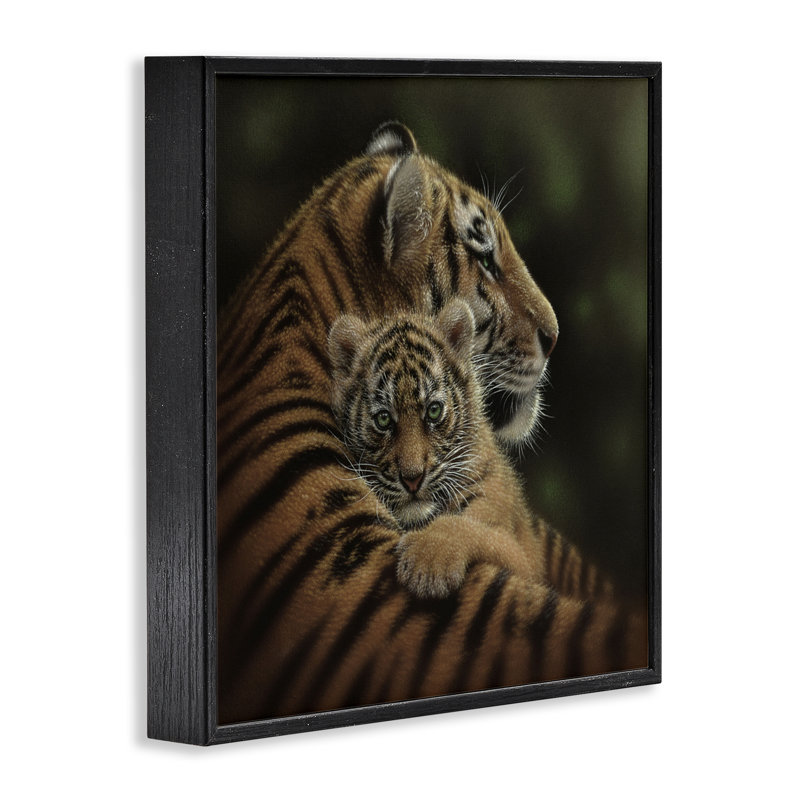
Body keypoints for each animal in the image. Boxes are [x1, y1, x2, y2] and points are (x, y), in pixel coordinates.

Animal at [328, 299, 545, 598]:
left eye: (433, 411)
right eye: (383, 419)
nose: (412, 479)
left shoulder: (523, 559)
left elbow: (470, 528)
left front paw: (428, 563)